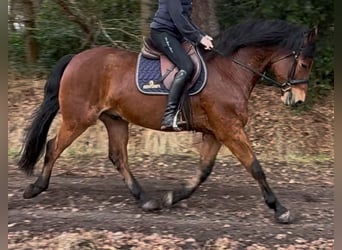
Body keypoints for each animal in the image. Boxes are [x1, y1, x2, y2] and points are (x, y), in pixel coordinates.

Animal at [18, 19, 318, 223]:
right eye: (304, 64)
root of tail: (75, 59)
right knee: (53, 147)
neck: (231, 71)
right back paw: (35, 189)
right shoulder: (229, 129)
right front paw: (280, 209)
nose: (297, 100)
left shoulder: (216, 132)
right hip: (79, 118)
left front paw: (172, 197)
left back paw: (146, 200)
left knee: (118, 157)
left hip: (115, 119)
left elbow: (203, 171)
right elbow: (255, 167)